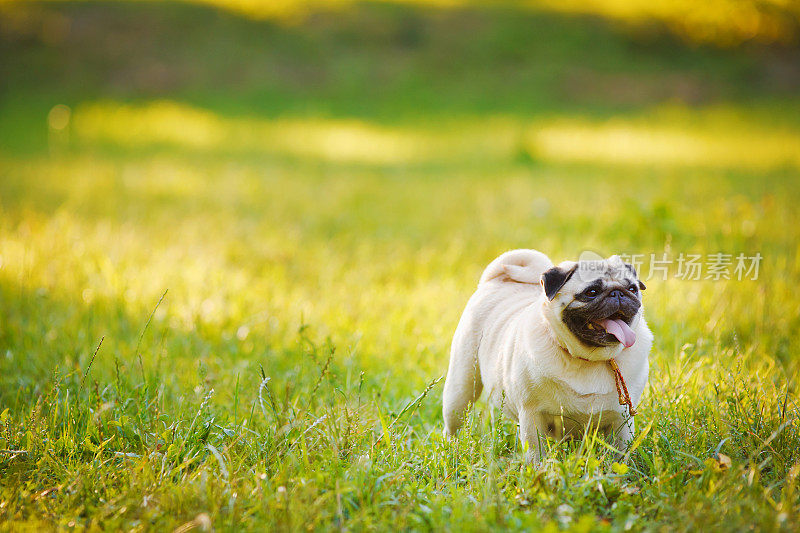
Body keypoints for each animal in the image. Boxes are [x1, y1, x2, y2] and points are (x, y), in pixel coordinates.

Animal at [440, 249, 652, 462]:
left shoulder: (621, 421)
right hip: (460, 389)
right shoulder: (532, 415)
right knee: (453, 424)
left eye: (632, 288)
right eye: (591, 292)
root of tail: (497, 280)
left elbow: (620, 455)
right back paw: (452, 451)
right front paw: (538, 469)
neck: (589, 359)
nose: (618, 293)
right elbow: (535, 454)